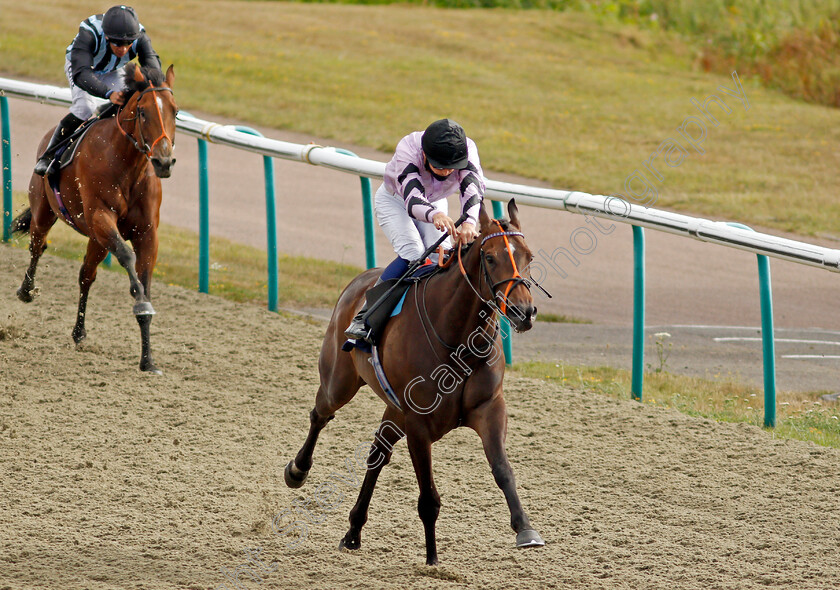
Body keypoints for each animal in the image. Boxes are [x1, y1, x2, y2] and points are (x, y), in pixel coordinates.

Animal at [12, 63, 177, 374]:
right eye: (143, 111)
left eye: (175, 110)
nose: (163, 161)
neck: (127, 165)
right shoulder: (101, 218)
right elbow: (127, 257)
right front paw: (140, 305)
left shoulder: (147, 233)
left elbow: (144, 278)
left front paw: (148, 359)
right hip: (44, 210)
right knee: (38, 245)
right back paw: (25, 290)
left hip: (96, 241)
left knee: (86, 276)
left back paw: (79, 333)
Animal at [282, 201, 544, 568]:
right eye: (491, 257)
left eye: (528, 256)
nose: (524, 312)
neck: (459, 339)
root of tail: (360, 280)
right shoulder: (419, 423)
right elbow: (428, 497)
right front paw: (432, 560)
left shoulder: (489, 408)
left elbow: (503, 470)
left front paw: (526, 529)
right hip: (340, 382)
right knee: (321, 414)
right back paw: (298, 470)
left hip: (394, 408)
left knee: (377, 453)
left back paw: (353, 532)